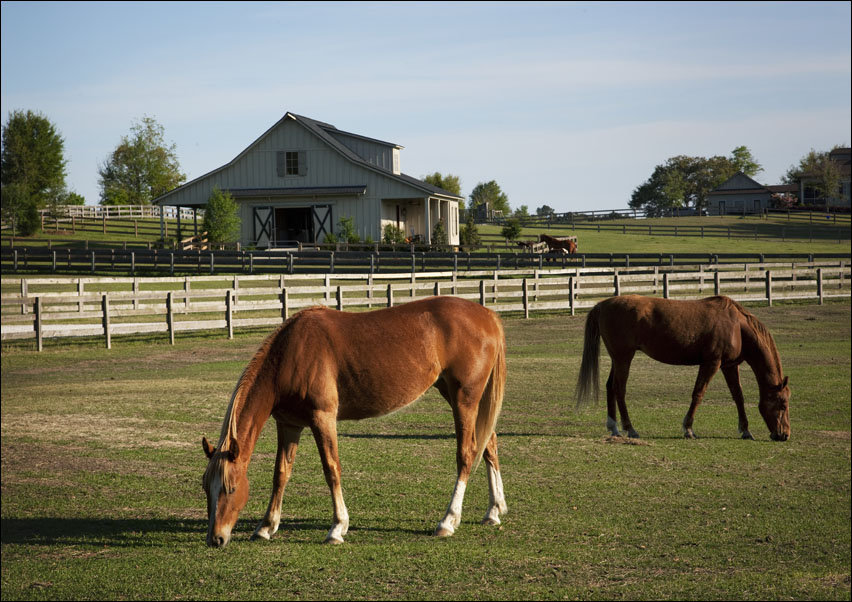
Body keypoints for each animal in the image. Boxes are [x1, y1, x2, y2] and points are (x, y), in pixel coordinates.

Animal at [200, 292, 506, 548]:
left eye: (231, 488)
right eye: (206, 487)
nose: (216, 538)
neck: (291, 353)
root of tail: (487, 315)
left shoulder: (322, 418)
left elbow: (331, 469)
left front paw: (337, 528)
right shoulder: (289, 424)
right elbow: (281, 473)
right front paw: (266, 526)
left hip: (464, 400)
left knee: (467, 454)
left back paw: (448, 521)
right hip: (459, 397)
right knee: (489, 444)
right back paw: (493, 511)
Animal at [576, 296, 788, 440]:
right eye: (783, 404)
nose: (784, 434)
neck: (737, 326)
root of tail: (602, 305)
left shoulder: (729, 366)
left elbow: (738, 396)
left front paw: (745, 430)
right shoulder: (711, 363)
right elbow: (698, 393)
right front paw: (688, 429)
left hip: (618, 359)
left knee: (610, 387)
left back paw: (614, 427)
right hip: (623, 358)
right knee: (619, 389)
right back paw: (630, 428)